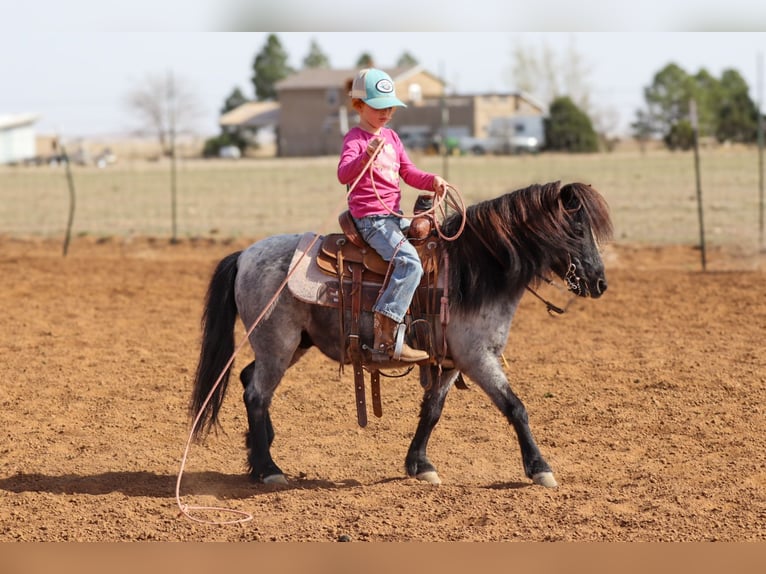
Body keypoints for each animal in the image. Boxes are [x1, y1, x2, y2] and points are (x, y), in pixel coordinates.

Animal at [189, 180, 613, 488]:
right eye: (577, 228)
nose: (599, 283)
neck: (472, 271)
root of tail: (245, 255)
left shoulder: (453, 360)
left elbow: (432, 409)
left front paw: (420, 465)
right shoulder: (478, 357)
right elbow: (516, 407)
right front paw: (540, 468)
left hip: (292, 345)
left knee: (248, 380)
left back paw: (257, 452)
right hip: (277, 343)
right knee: (257, 394)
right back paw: (269, 468)